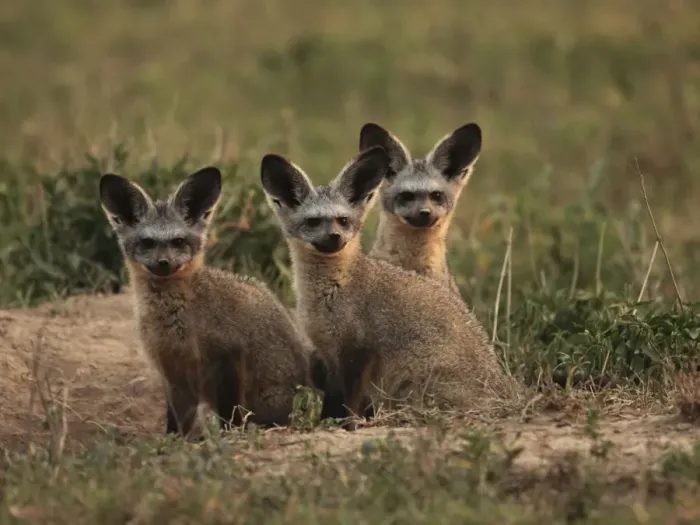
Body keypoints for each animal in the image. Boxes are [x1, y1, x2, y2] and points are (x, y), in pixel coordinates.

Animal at [99, 166, 315, 438]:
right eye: (147, 242)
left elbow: (229, 416)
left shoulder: (227, 359)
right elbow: (176, 423)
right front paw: (173, 440)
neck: (174, 320)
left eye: (178, 242)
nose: (163, 263)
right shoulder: (171, 373)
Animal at [259, 146, 520, 428]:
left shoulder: (358, 353)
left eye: (343, 220)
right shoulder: (329, 354)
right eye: (313, 222)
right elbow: (332, 401)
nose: (335, 237)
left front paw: (345, 426)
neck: (331, 292)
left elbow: (348, 403)